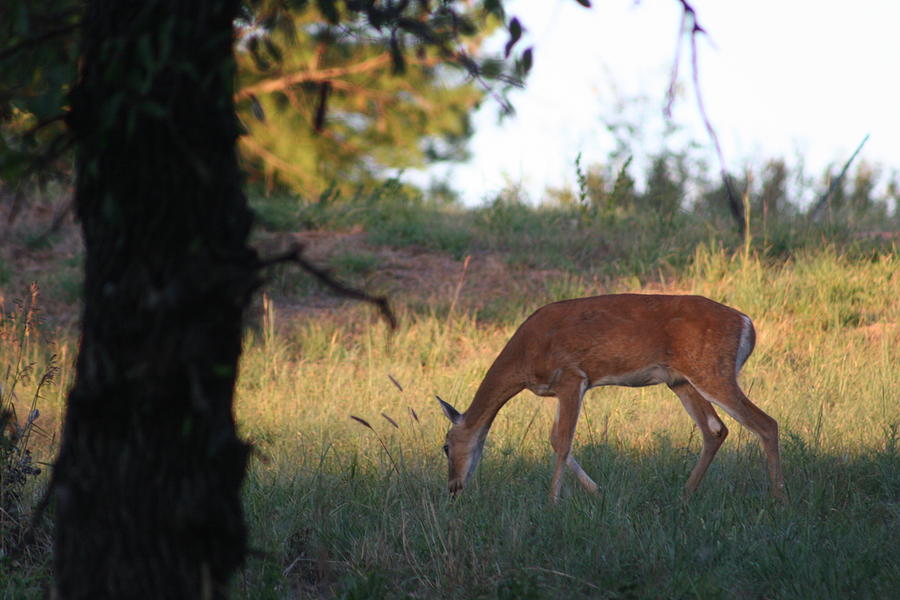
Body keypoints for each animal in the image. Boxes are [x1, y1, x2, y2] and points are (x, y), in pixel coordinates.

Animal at [440, 292, 784, 504]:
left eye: (445, 446)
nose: (452, 488)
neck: (524, 358)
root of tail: (747, 324)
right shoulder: (562, 387)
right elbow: (555, 439)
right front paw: (598, 492)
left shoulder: (572, 376)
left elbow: (562, 440)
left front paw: (553, 502)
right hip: (681, 381)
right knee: (715, 429)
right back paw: (684, 496)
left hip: (712, 371)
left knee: (766, 423)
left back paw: (779, 500)